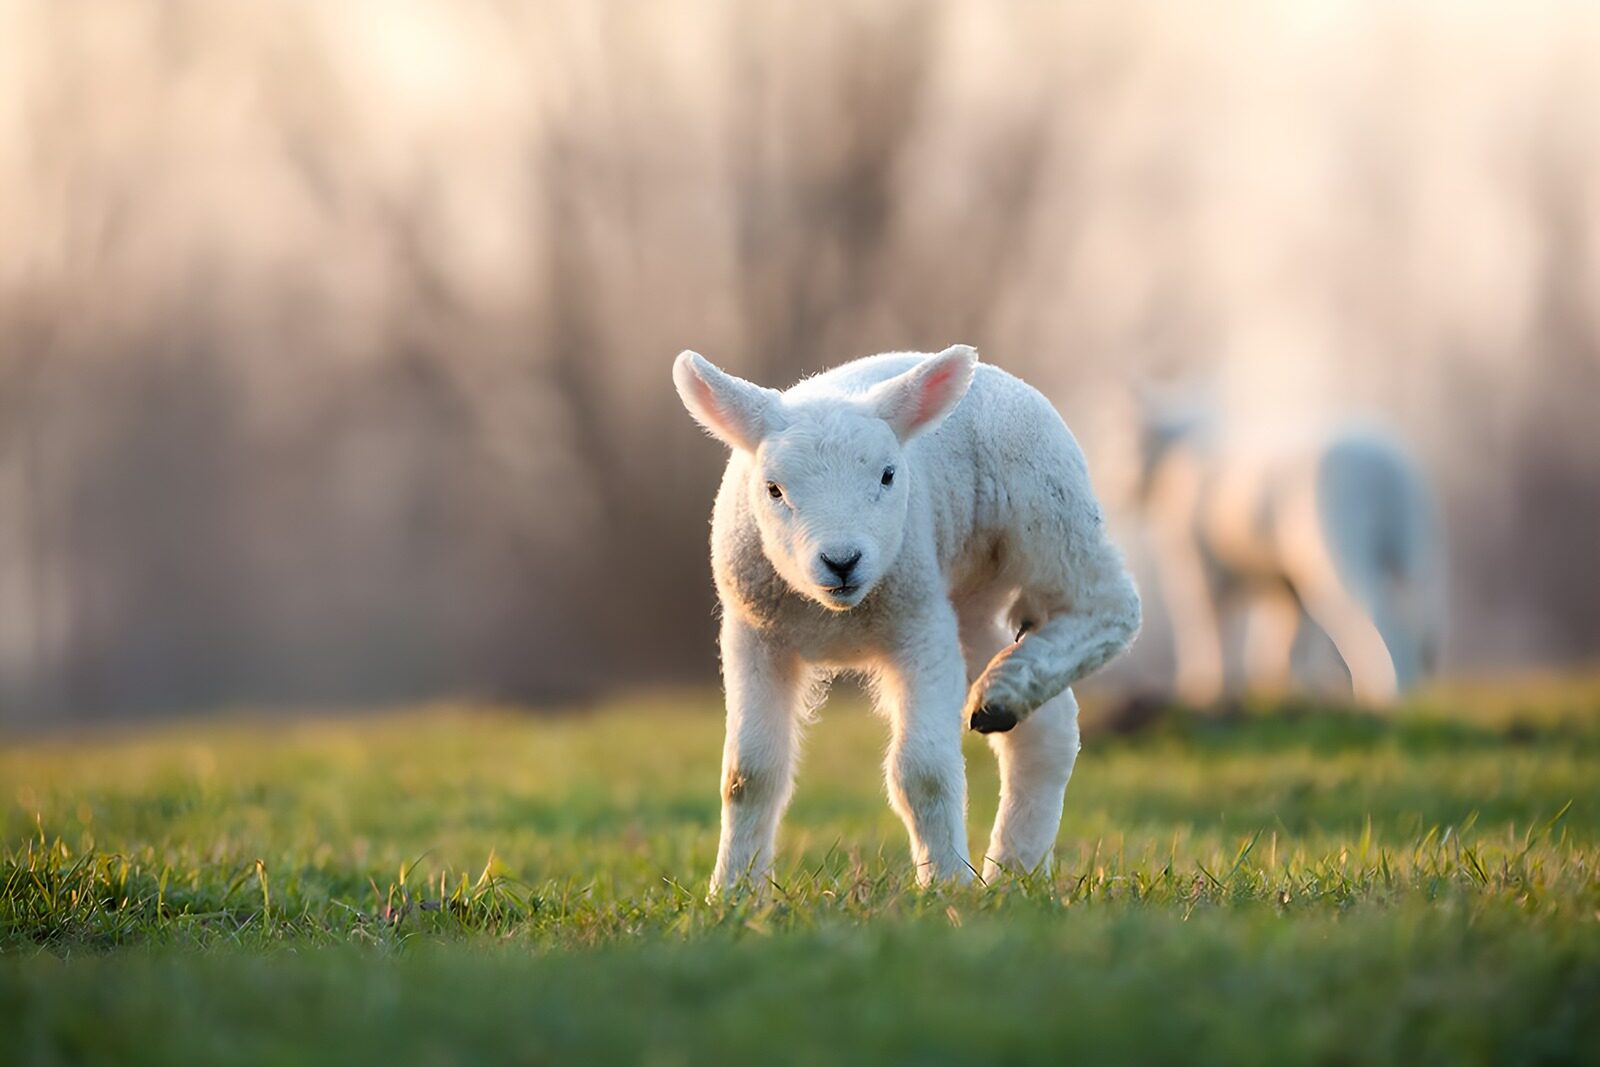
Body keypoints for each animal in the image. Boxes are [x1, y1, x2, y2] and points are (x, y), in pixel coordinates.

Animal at [672, 345, 1141, 892]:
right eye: (773, 489)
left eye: (888, 475)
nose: (842, 560)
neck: (837, 615)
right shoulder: (755, 637)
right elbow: (749, 776)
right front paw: (733, 892)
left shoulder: (920, 629)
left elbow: (924, 772)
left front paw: (947, 887)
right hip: (967, 602)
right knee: (1047, 728)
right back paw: (1014, 863)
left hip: (1047, 510)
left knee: (1108, 605)